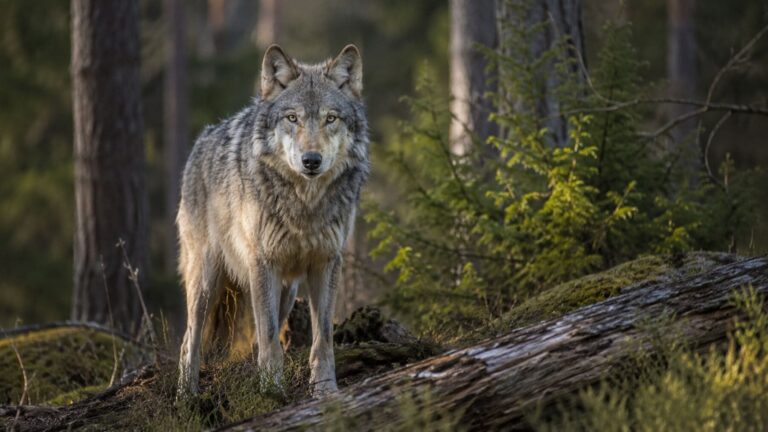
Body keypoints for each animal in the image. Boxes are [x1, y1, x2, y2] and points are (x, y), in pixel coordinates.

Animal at [176, 44, 369, 398]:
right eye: (292, 118)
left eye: (330, 118)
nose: (311, 160)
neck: (305, 204)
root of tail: (201, 141)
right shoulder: (262, 262)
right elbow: (267, 336)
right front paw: (271, 391)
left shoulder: (326, 262)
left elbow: (323, 338)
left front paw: (325, 390)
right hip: (206, 278)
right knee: (189, 339)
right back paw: (186, 396)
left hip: (287, 291)